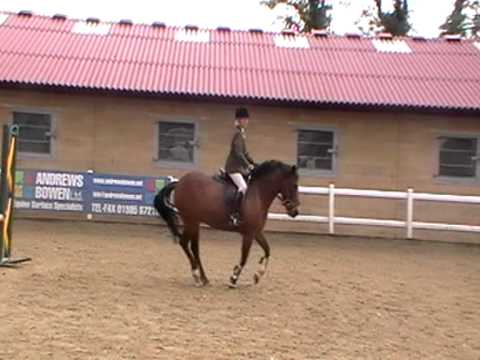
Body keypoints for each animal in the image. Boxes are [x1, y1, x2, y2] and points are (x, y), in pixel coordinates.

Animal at [154, 160, 300, 286]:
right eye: (294, 185)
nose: (295, 211)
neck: (258, 195)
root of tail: (180, 182)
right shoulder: (248, 234)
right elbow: (244, 257)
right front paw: (233, 278)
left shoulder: (256, 232)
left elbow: (267, 250)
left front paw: (257, 275)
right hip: (190, 220)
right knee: (184, 243)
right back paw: (196, 276)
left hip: (195, 222)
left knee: (195, 248)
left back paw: (204, 278)